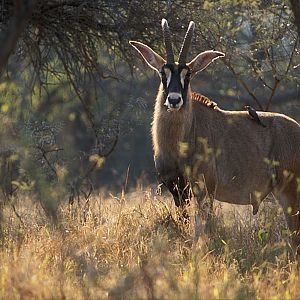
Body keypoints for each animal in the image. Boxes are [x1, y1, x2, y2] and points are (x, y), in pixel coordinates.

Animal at [130, 18, 300, 255]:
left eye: (188, 74)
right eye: (163, 73)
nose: (174, 100)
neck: (181, 139)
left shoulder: (205, 189)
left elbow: (203, 228)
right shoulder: (177, 190)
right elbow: (185, 223)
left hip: (289, 192)